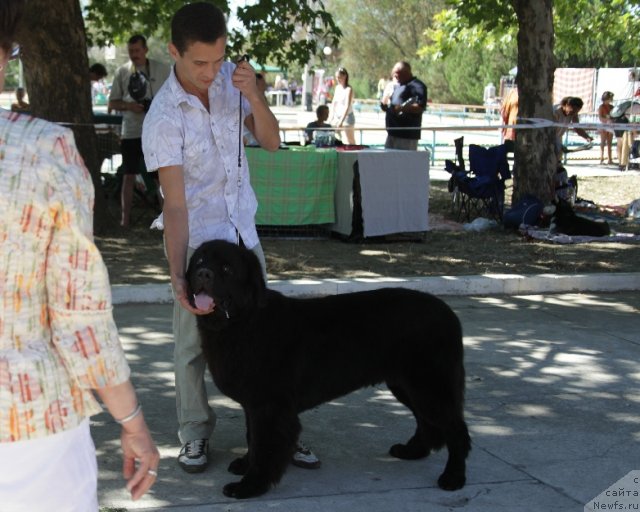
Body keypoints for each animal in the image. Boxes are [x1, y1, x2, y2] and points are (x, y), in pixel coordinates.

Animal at [185, 241, 470, 500]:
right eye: (199, 261)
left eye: (226, 268)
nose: (203, 274)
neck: (244, 322)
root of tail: (450, 315)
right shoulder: (255, 404)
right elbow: (252, 438)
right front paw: (245, 465)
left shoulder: (269, 406)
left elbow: (264, 446)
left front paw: (250, 485)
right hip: (406, 385)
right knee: (426, 421)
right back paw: (412, 452)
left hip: (429, 386)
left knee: (456, 429)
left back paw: (453, 477)